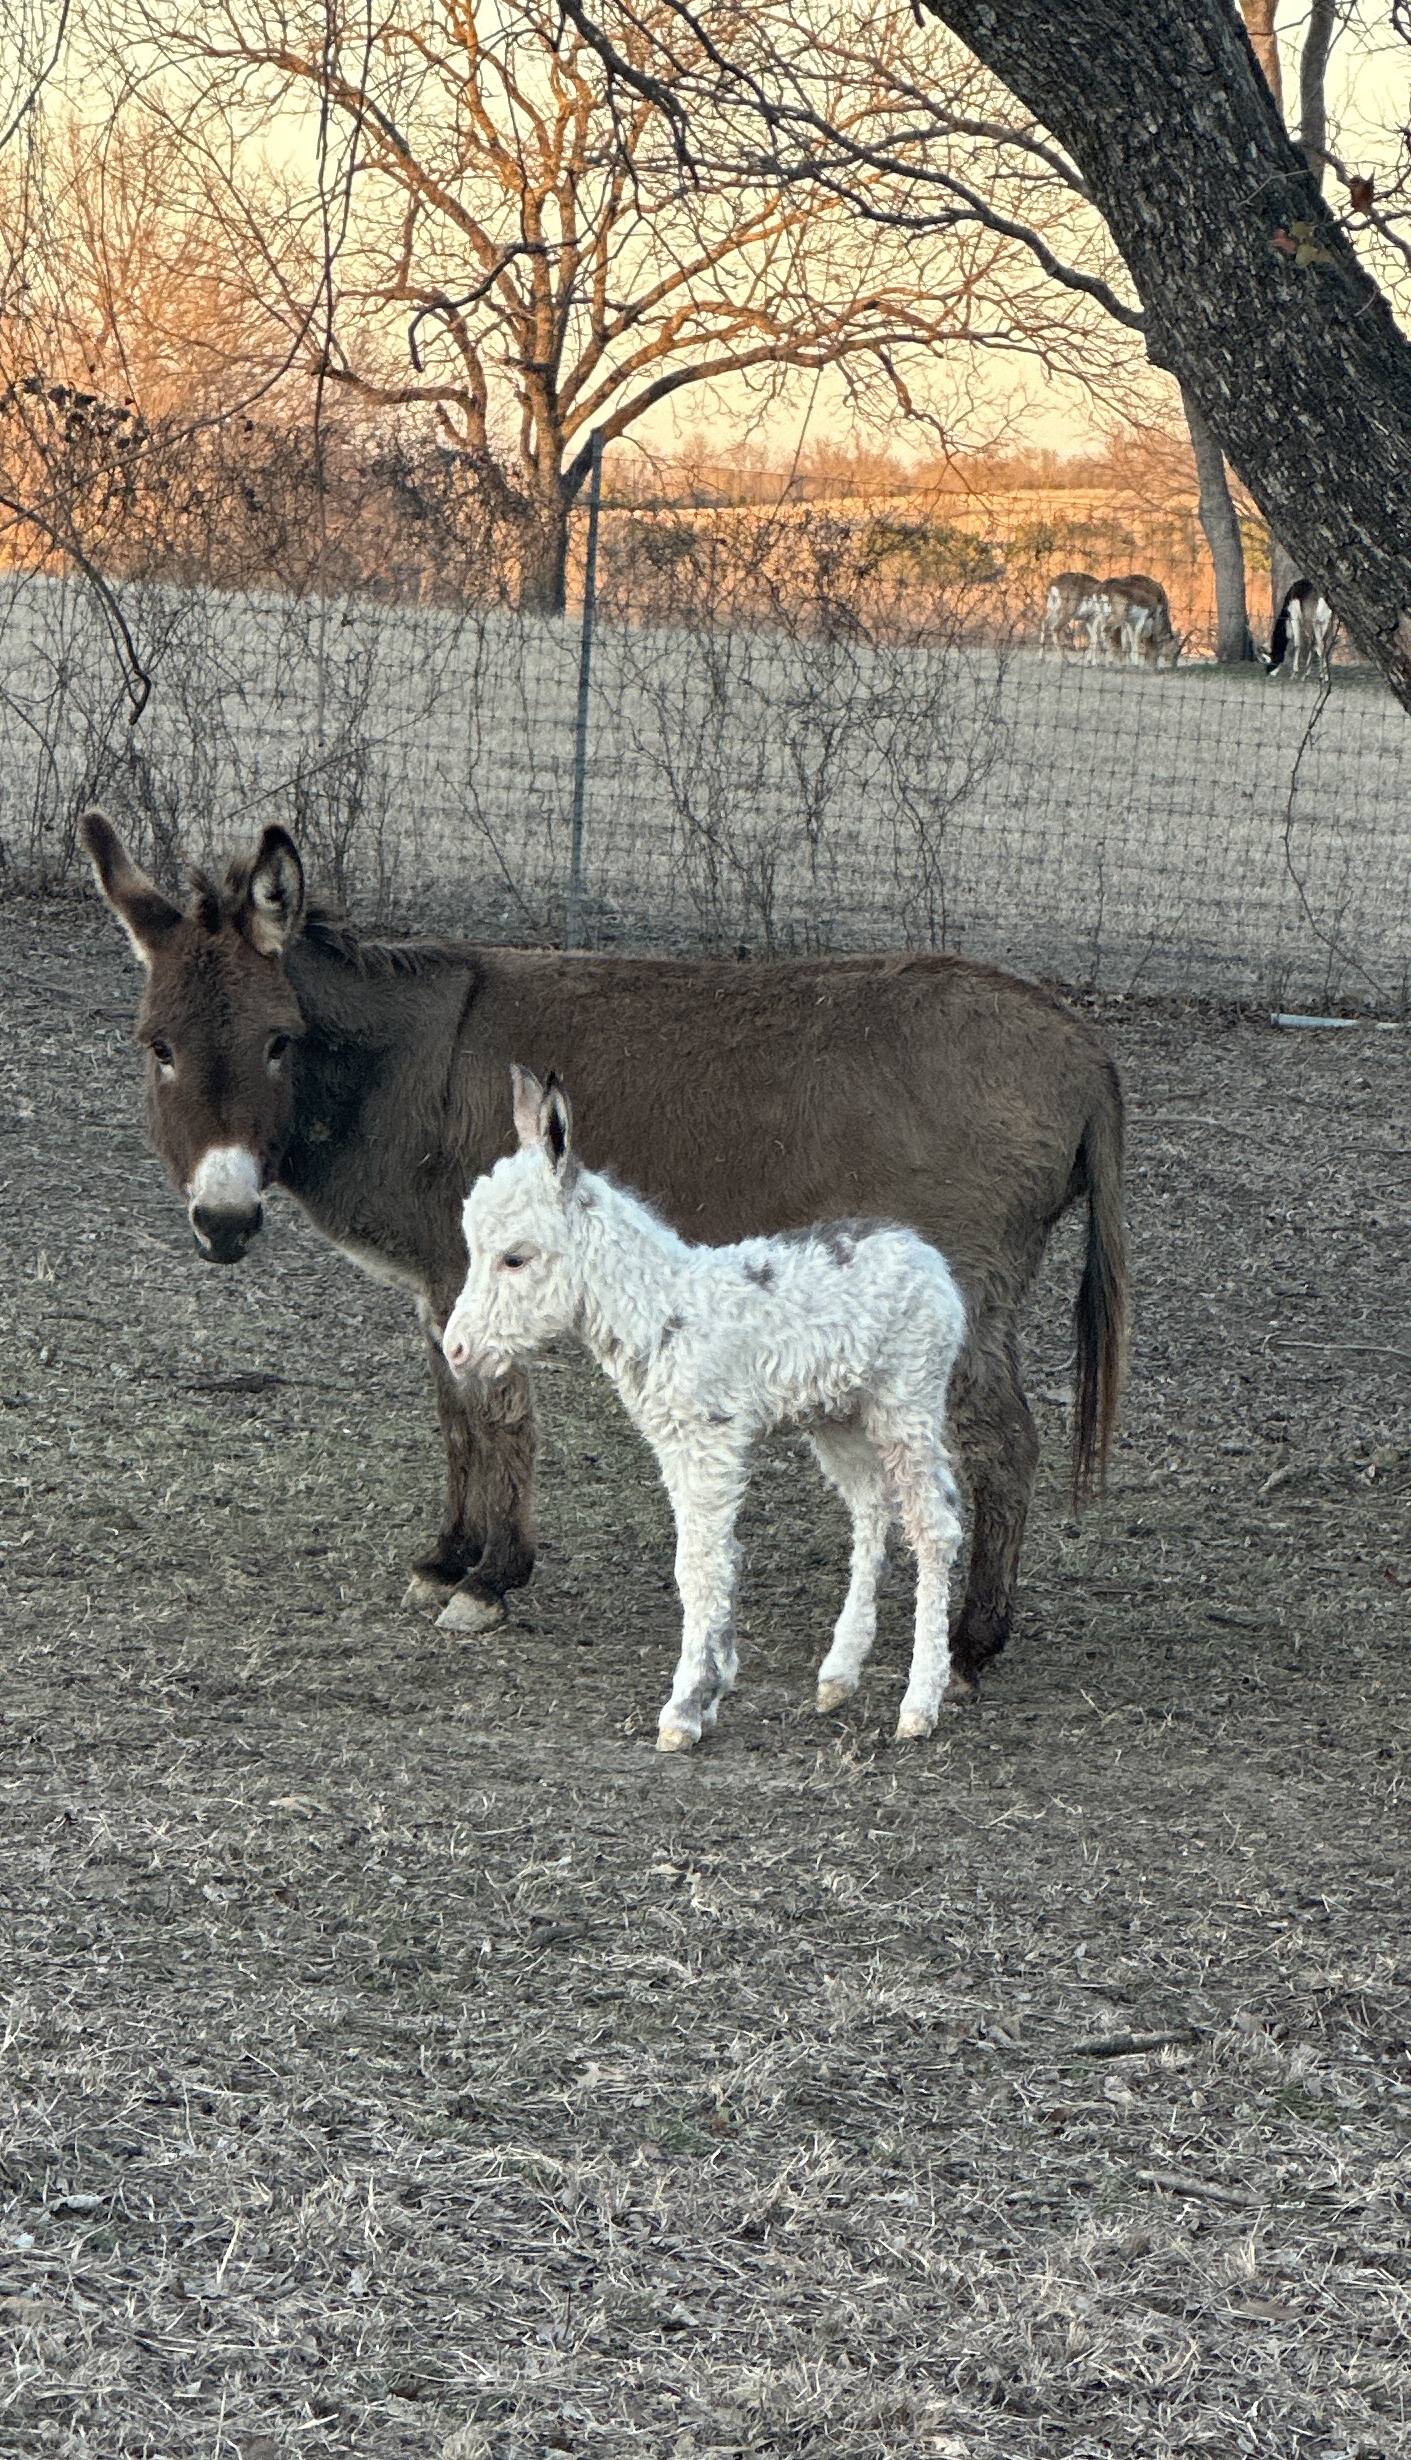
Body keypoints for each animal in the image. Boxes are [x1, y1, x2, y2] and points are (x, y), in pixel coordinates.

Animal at [444, 1068, 969, 1749]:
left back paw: (919, 1703)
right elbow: (706, 1560)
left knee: (934, 1528)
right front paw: (712, 1686)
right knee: (872, 1510)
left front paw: (687, 1705)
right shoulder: (674, 1443)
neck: (661, 1312)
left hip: (907, 1400)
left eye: (515, 1257)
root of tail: (927, 1257)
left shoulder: (708, 1437)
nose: (455, 1349)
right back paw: (838, 1675)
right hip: (839, 1416)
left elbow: (701, 1565)